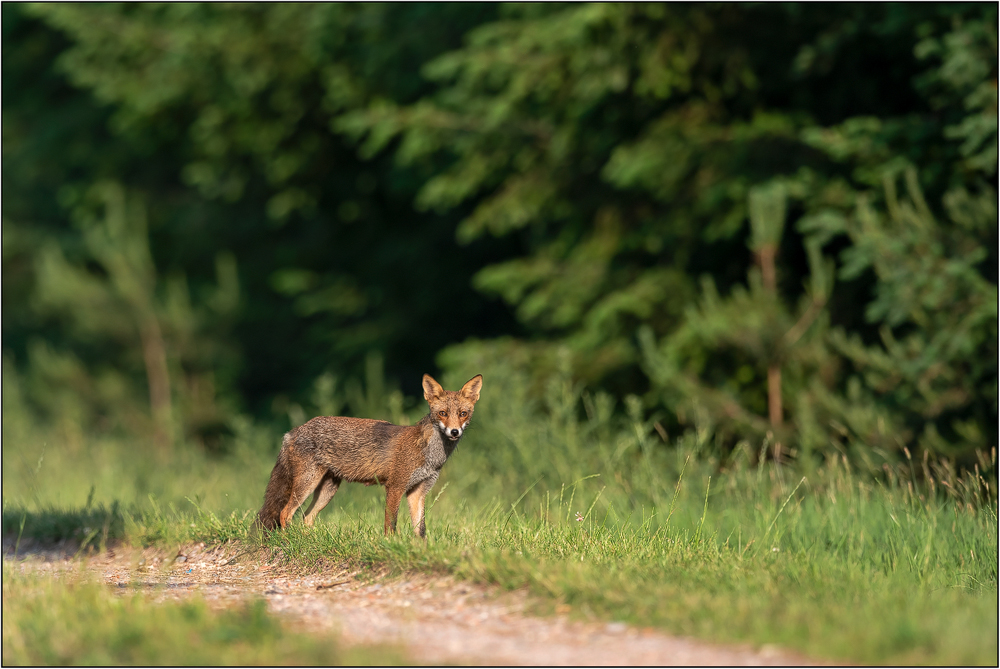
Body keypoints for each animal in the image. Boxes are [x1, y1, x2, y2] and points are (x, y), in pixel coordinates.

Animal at [254, 374, 480, 536]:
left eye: (463, 414)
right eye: (443, 413)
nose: (454, 432)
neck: (431, 455)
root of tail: (293, 431)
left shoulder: (418, 492)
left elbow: (421, 530)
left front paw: (421, 552)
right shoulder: (395, 487)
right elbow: (391, 525)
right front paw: (391, 547)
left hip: (327, 489)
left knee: (307, 518)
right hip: (306, 485)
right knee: (285, 514)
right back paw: (288, 542)